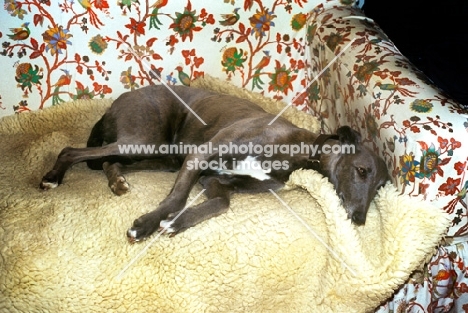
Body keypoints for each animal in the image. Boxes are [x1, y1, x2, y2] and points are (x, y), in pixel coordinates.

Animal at [40, 84, 390, 241]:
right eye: (362, 170)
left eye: (380, 188)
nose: (359, 220)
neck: (295, 146)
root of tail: (114, 104)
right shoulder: (202, 156)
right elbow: (177, 198)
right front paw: (148, 224)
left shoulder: (216, 180)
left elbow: (221, 204)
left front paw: (177, 222)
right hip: (142, 140)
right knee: (71, 151)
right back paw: (53, 177)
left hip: (160, 155)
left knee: (110, 163)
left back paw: (116, 182)